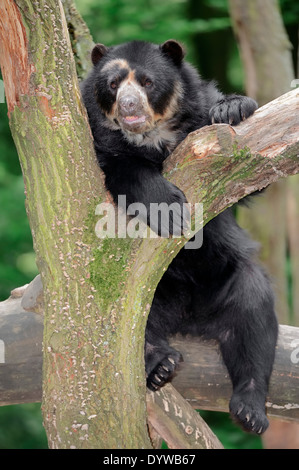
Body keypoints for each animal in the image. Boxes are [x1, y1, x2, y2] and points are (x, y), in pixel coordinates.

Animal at [81, 39, 278, 434]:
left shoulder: (200, 114)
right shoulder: (101, 139)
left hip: (229, 276)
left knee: (254, 323)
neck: (153, 135)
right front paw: (170, 211)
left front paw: (233, 108)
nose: (128, 106)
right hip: (145, 293)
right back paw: (161, 365)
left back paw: (250, 411)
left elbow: (250, 178)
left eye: (147, 82)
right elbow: (125, 168)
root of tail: (192, 319)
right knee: (133, 329)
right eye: (113, 85)